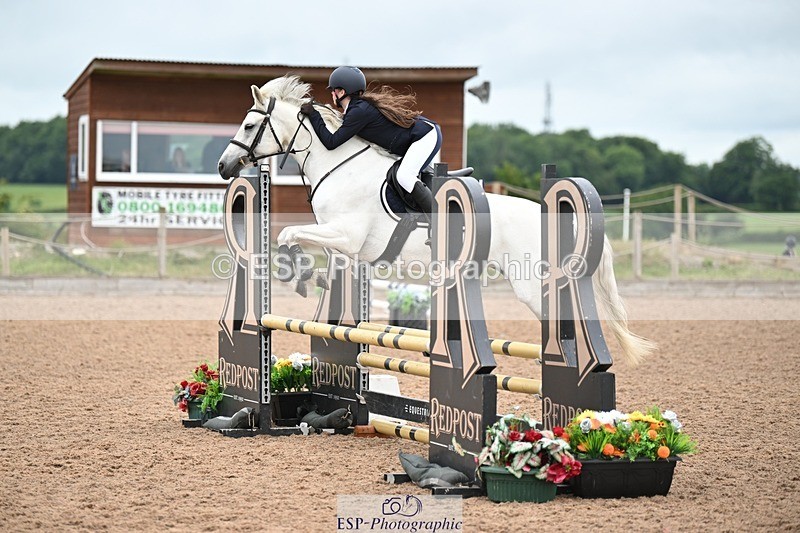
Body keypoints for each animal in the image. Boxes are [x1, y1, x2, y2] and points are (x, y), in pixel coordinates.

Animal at [217, 75, 655, 366]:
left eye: (250, 125)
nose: (224, 167)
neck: (338, 164)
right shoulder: (340, 241)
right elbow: (302, 244)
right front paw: (310, 276)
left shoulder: (346, 234)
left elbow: (289, 233)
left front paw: (299, 275)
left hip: (531, 282)